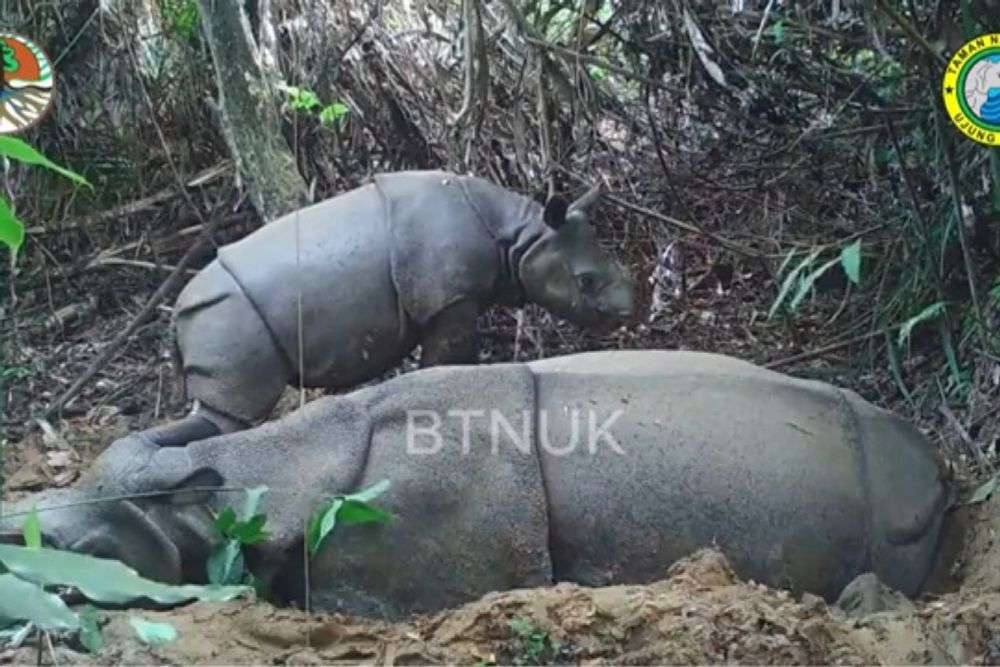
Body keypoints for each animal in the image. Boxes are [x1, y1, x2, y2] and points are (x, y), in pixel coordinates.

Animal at [160, 170, 636, 446]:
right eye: (586, 282)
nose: (628, 313)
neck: (523, 236)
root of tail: (177, 313)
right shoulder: (451, 299)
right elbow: (449, 362)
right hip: (226, 318)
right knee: (230, 416)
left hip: (216, 318)